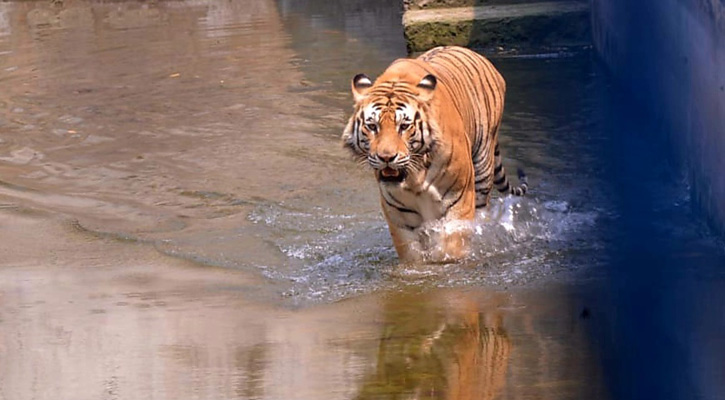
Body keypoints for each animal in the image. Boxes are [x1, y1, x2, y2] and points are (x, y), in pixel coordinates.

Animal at [340, 45, 528, 262]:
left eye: (404, 126)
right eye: (372, 126)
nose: (386, 158)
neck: (414, 178)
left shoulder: (459, 201)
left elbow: (453, 247)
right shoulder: (399, 214)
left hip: (482, 170)